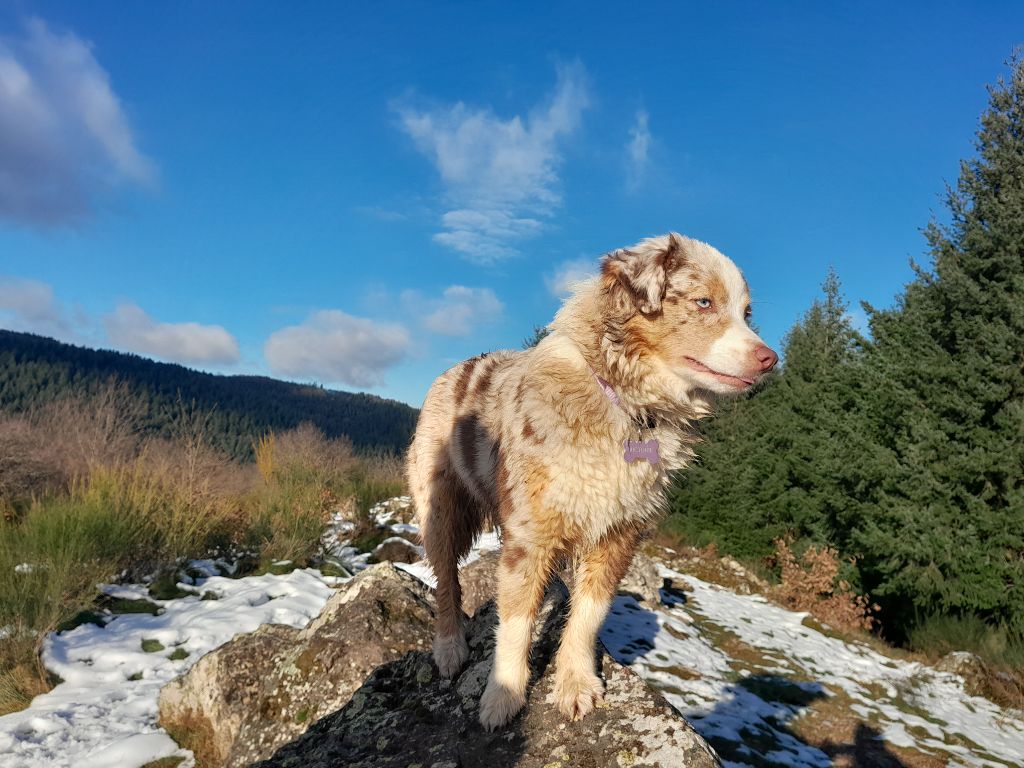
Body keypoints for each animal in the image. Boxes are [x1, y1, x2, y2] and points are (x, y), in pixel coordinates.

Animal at [403, 234, 770, 733]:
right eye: (704, 302)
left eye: (747, 313)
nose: (770, 359)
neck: (627, 405)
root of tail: (454, 369)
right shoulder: (529, 537)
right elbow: (515, 623)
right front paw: (504, 695)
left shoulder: (619, 534)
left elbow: (588, 615)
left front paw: (575, 683)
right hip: (439, 506)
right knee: (445, 580)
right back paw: (449, 646)